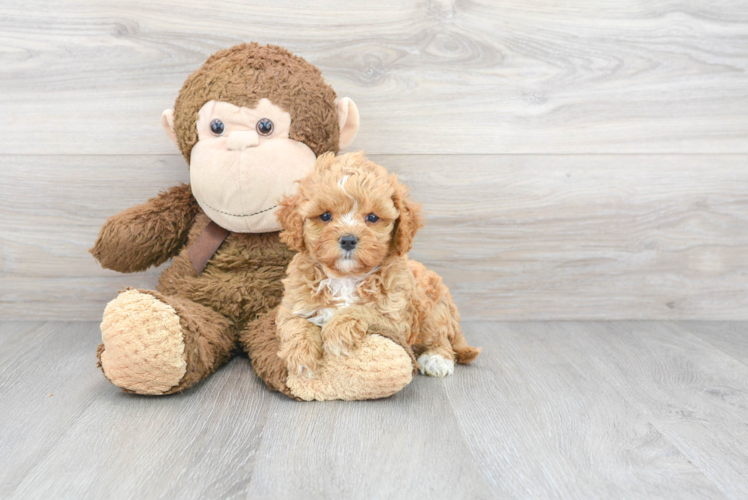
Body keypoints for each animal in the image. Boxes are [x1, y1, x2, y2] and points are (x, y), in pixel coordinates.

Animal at [274, 150, 480, 376]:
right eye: (325, 216)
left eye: (372, 217)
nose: (348, 240)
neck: (346, 278)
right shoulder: (295, 303)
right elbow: (296, 324)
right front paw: (300, 356)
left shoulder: (394, 317)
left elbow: (362, 310)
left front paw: (337, 332)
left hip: (434, 312)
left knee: (440, 338)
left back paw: (437, 359)